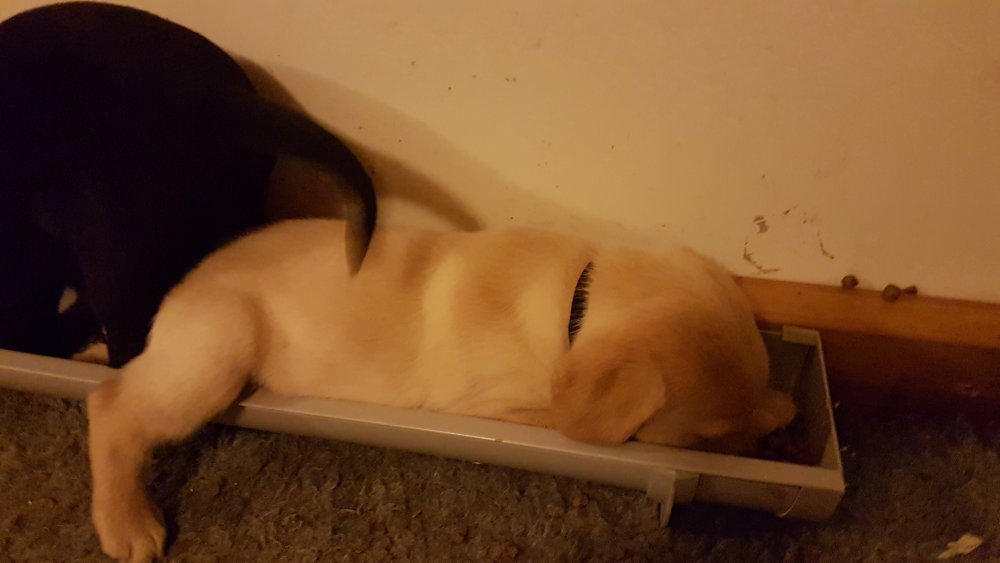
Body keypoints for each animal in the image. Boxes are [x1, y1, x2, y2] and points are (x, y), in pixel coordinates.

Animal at [86, 218, 796, 561]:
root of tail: (171, 300)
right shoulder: (500, 405)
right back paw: (127, 522)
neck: (576, 302)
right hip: (220, 346)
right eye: (704, 439)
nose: (766, 453)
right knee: (112, 406)